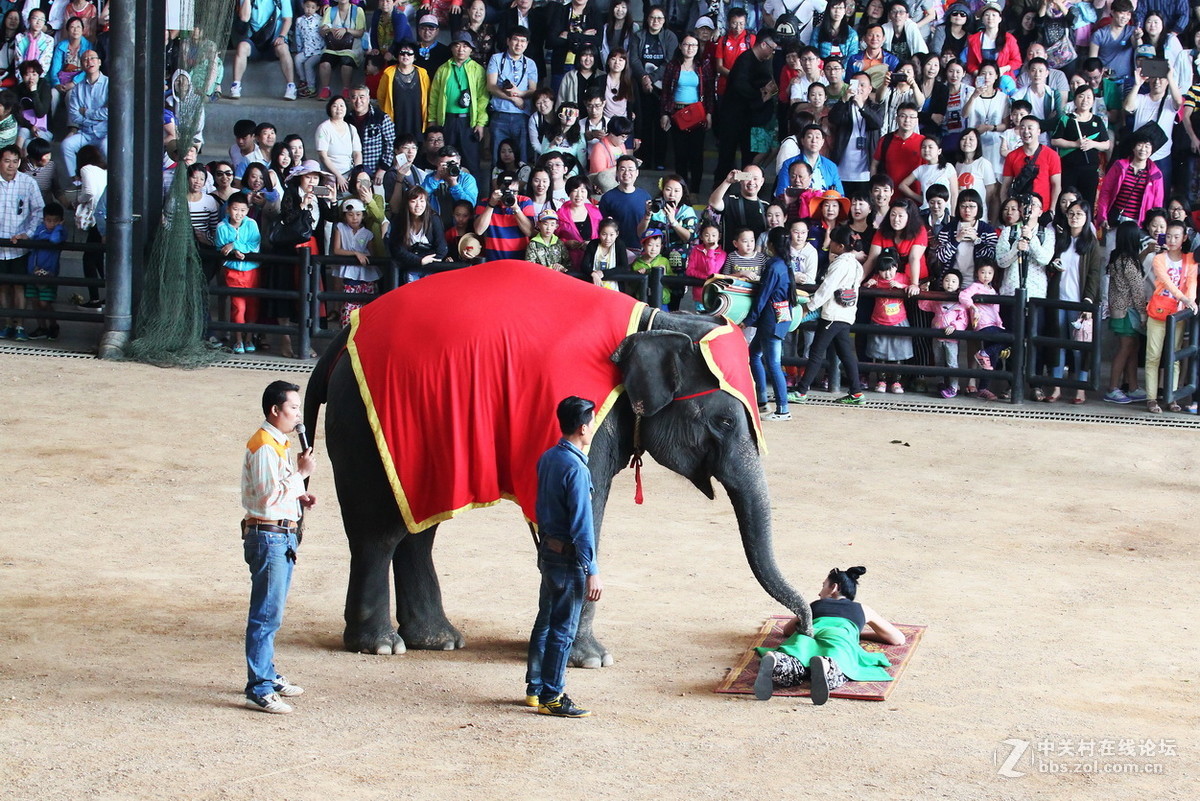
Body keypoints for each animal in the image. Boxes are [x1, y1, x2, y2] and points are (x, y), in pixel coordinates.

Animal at [303, 260, 812, 666]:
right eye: (725, 421)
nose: (800, 627)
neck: (657, 319)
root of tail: (346, 332)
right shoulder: (578, 417)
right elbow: (580, 519)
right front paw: (591, 659)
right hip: (366, 423)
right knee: (380, 531)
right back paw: (380, 645)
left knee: (419, 528)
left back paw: (439, 640)